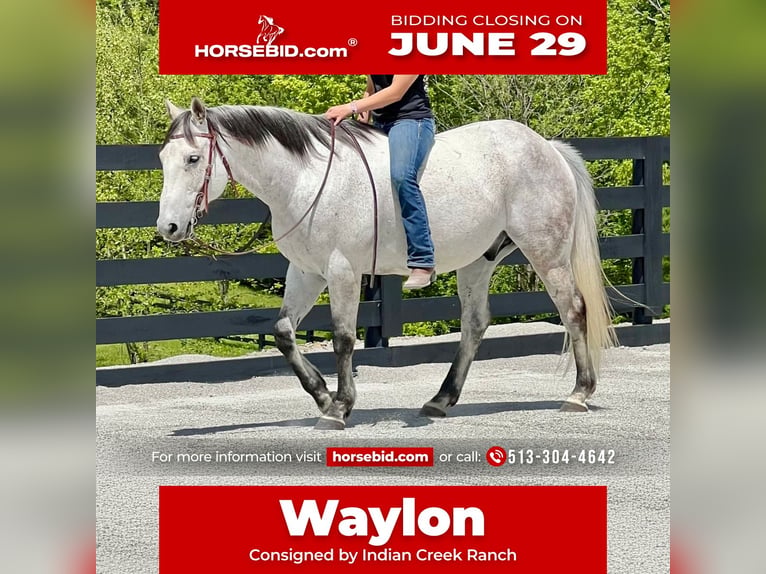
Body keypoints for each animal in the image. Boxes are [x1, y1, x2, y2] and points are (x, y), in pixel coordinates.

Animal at [157, 97, 617, 430]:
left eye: (193, 159)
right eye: (163, 158)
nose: (169, 226)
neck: (307, 180)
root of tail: (547, 148)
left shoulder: (343, 272)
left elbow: (343, 339)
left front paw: (339, 407)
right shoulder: (306, 272)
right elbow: (284, 332)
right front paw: (321, 395)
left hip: (547, 252)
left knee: (573, 310)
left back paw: (579, 393)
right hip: (477, 261)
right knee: (474, 325)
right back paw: (440, 400)